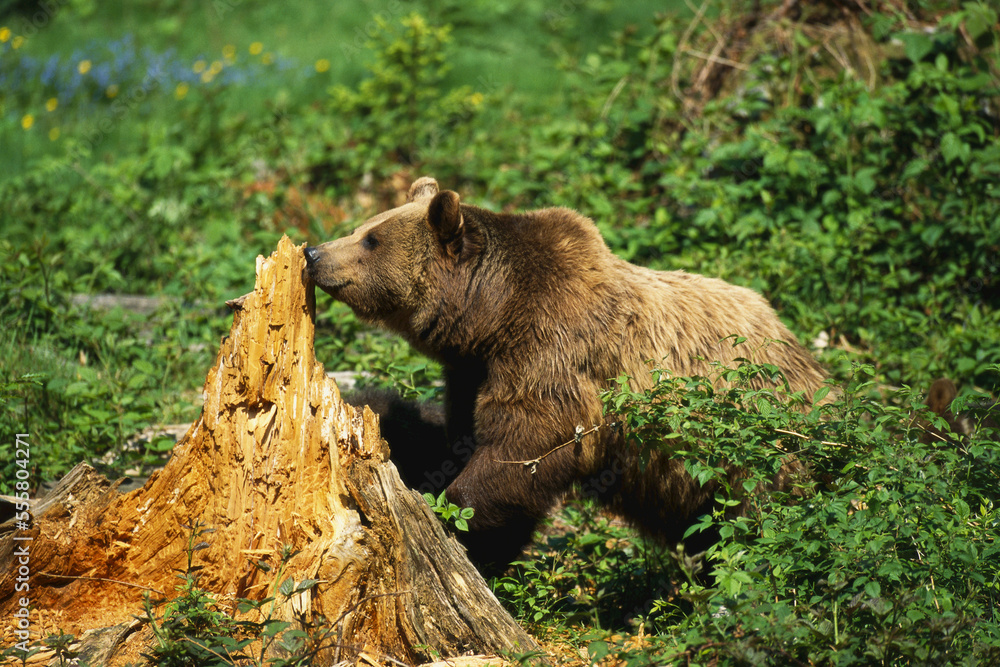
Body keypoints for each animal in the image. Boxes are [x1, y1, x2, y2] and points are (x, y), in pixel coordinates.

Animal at [304, 176, 829, 571]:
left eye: (371, 239)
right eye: (364, 226)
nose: (314, 252)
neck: (492, 316)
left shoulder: (553, 348)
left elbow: (532, 442)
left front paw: (451, 509)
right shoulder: (472, 372)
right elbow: (469, 439)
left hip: (758, 439)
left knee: (761, 514)